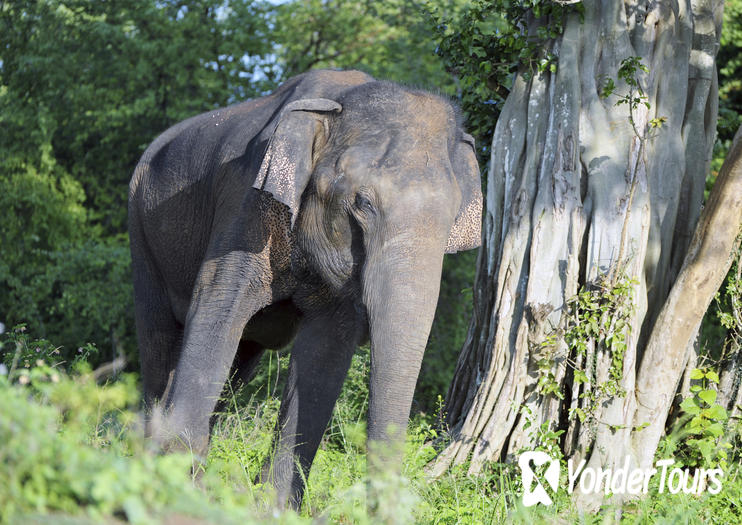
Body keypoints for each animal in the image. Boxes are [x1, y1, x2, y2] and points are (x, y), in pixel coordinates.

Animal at [129, 67, 482, 506]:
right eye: (362, 204)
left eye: (452, 219)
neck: (339, 103)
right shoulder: (246, 205)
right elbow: (218, 309)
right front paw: (181, 494)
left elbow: (323, 352)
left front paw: (271, 508)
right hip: (141, 233)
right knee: (160, 341)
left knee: (237, 363)